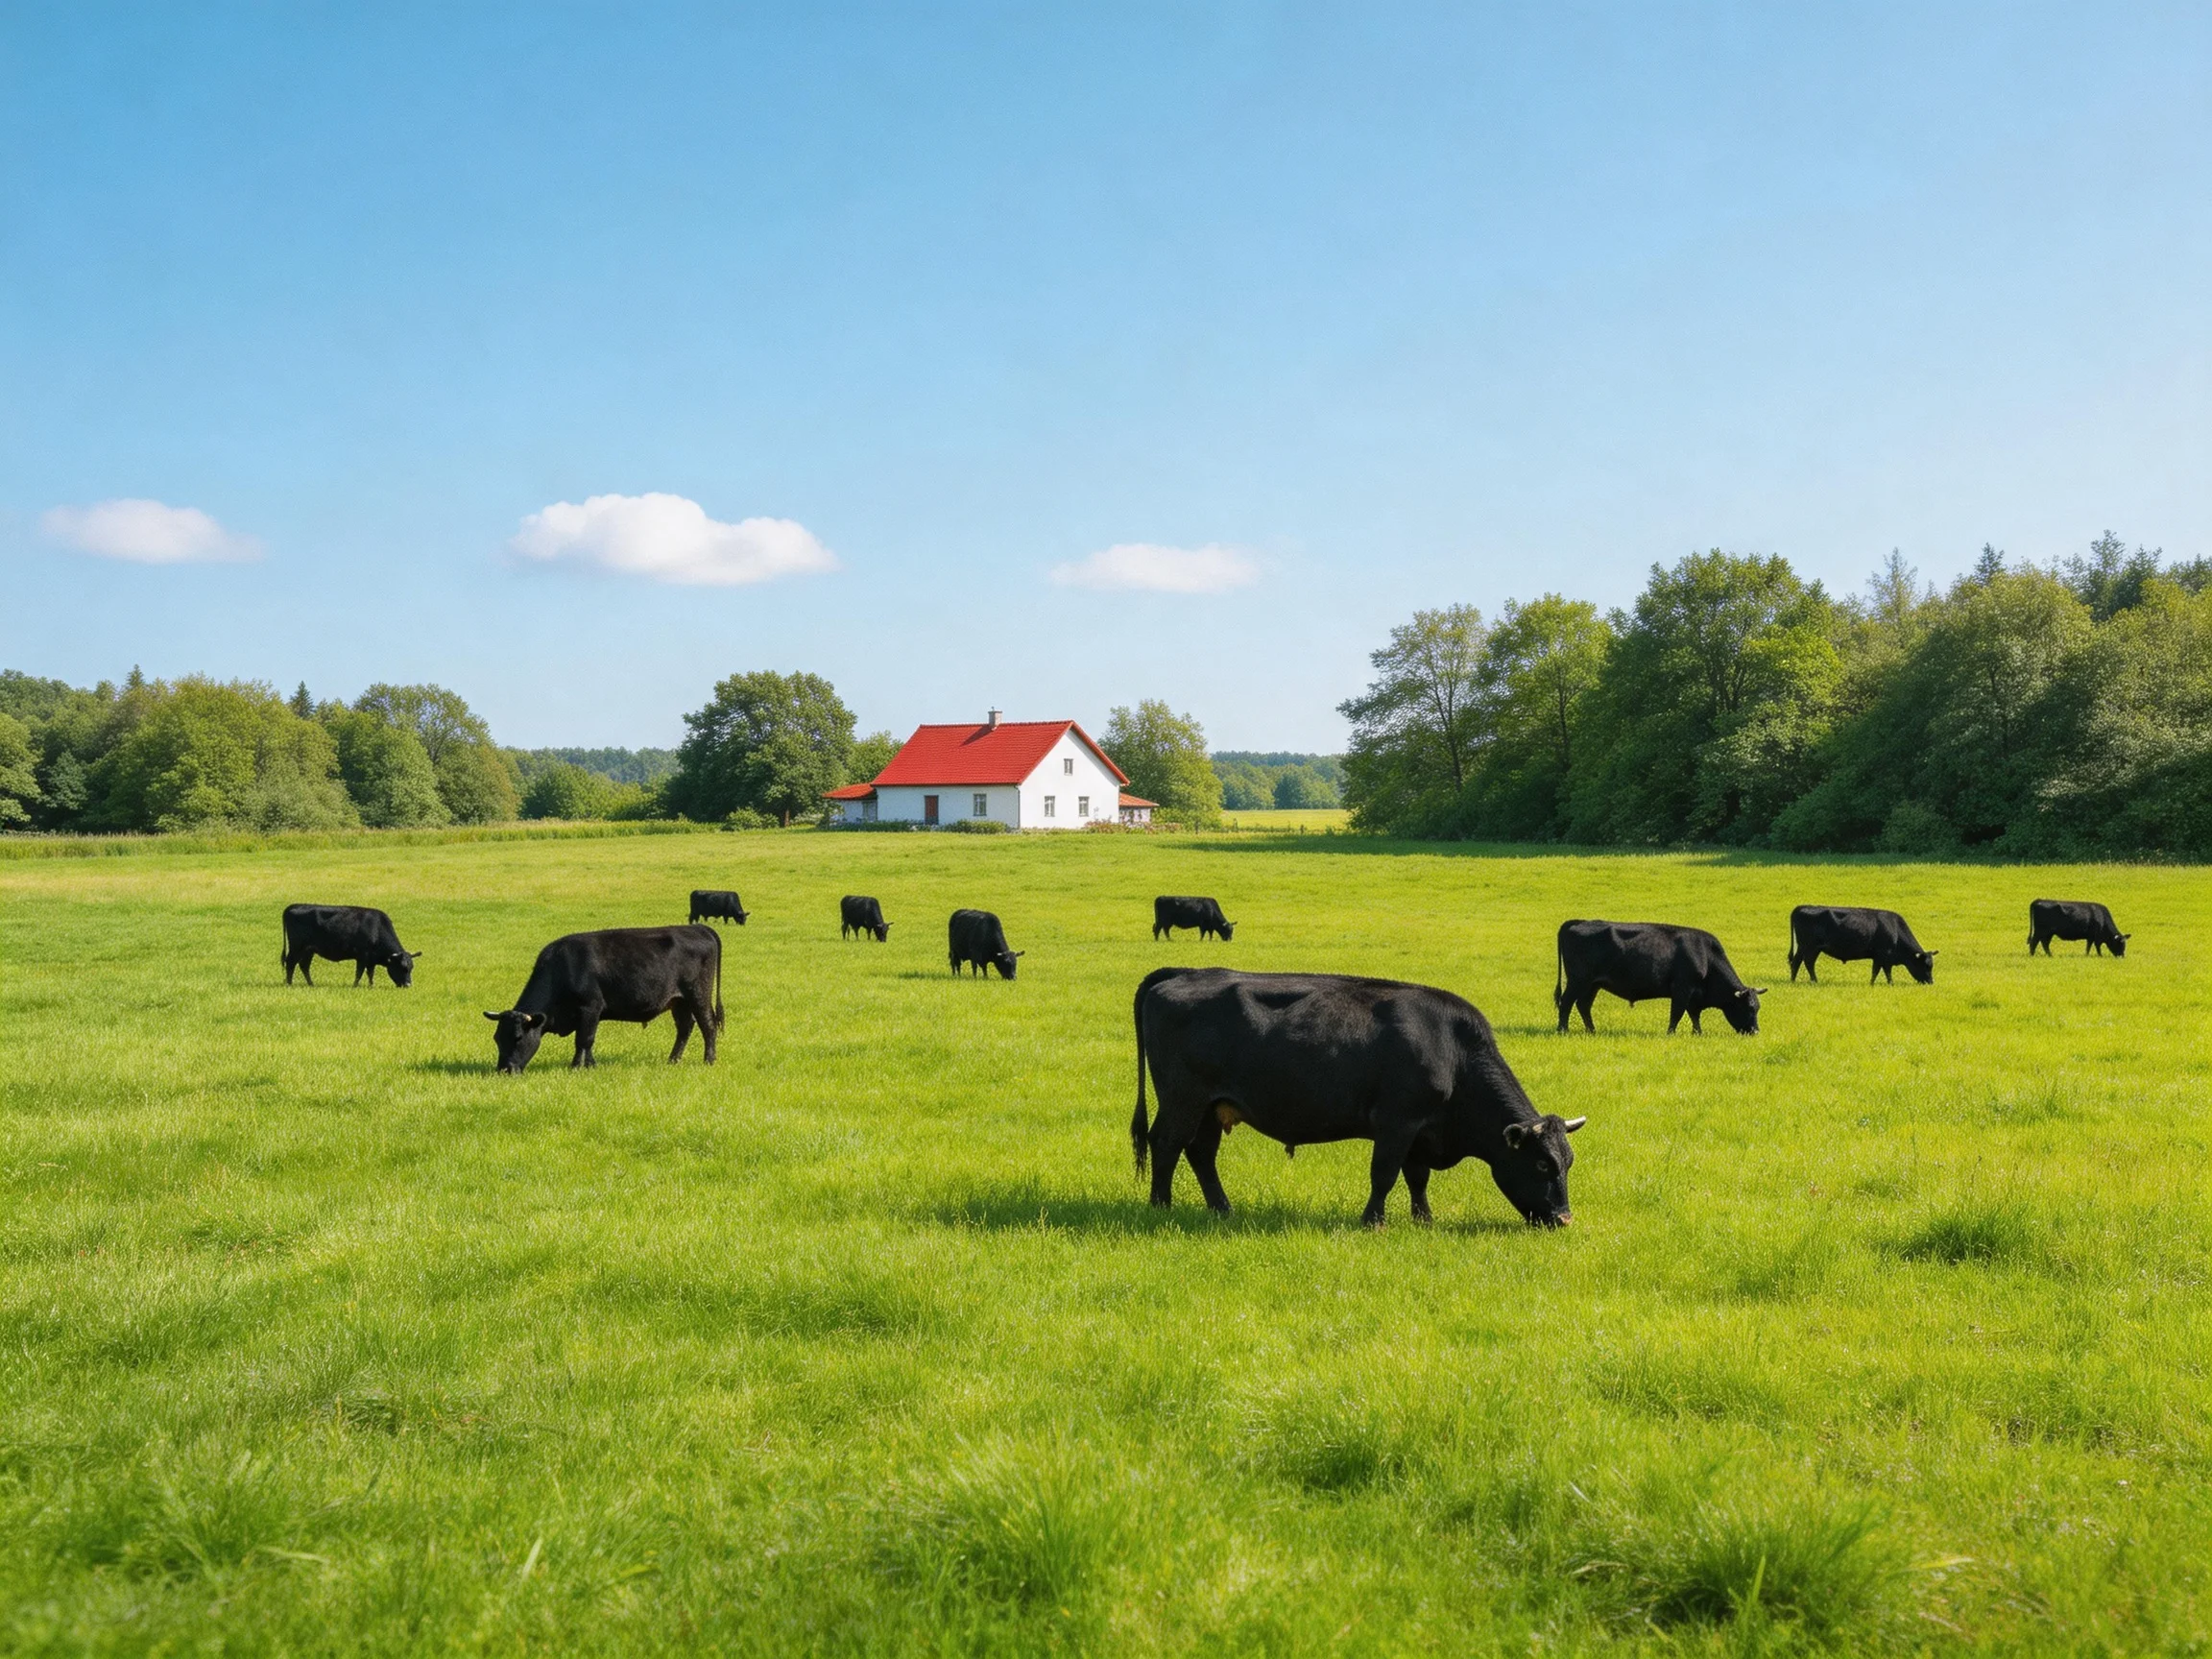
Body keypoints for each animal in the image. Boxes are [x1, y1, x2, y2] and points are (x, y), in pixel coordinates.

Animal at [281, 903, 418, 988]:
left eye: (411, 968)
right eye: (402, 967)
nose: (408, 985)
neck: (377, 929)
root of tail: (295, 905)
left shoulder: (371, 960)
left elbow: (370, 973)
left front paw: (371, 986)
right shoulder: (362, 956)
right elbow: (359, 972)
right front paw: (355, 986)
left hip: (309, 950)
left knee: (304, 965)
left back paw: (311, 984)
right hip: (296, 947)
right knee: (291, 963)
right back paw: (289, 984)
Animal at [484, 926, 723, 1072]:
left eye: (517, 1038)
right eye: (497, 1038)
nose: (504, 1070)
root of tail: (698, 928)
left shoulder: (591, 1008)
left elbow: (584, 1039)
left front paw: (577, 1067)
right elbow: (586, 1042)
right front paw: (589, 1065)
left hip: (698, 995)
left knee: (708, 1025)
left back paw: (709, 1060)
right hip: (679, 1001)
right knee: (685, 1027)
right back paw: (673, 1060)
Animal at [1130, 967, 1585, 1227]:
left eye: (1567, 1162)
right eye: (1542, 1164)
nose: (1564, 1219)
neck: (1453, 1050)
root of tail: (1179, 975)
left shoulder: (1420, 1131)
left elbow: (1416, 1177)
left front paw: (1424, 1220)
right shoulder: (1397, 1123)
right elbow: (1384, 1173)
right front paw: (1373, 1221)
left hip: (1210, 1107)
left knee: (1201, 1153)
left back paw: (1222, 1209)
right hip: (1182, 1100)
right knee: (1166, 1143)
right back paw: (1161, 1206)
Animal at [1556, 920, 1763, 1035]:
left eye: (1757, 1008)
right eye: (1749, 1007)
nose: (1755, 1032)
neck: (1705, 956)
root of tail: (1577, 922)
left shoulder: (1693, 996)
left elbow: (1694, 1015)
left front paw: (1698, 1033)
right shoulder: (1682, 989)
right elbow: (1677, 1013)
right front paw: (1670, 1033)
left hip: (1592, 984)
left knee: (1583, 1005)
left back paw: (1592, 1031)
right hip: (1578, 981)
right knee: (1566, 1003)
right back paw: (1563, 1030)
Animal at [1788, 905, 1937, 985]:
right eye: (1925, 965)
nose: (1930, 982)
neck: (1895, 930)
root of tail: (1802, 907)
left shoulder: (1880, 958)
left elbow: (1879, 971)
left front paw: (1876, 983)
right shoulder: (1884, 955)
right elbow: (1883, 971)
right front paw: (1887, 984)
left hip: (1806, 947)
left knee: (1799, 962)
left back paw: (1794, 981)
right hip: (1809, 947)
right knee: (1805, 962)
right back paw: (1813, 981)